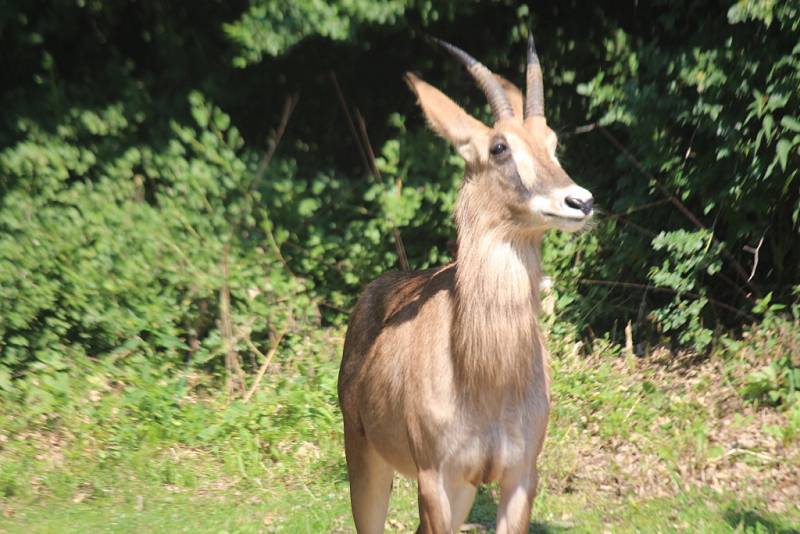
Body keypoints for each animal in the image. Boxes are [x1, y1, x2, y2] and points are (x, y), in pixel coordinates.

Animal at [338, 34, 592, 534]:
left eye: (552, 141)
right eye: (499, 147)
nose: (580, 201)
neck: (485, 375)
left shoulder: (518, 475)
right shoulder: (436, 476)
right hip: (367, 462)